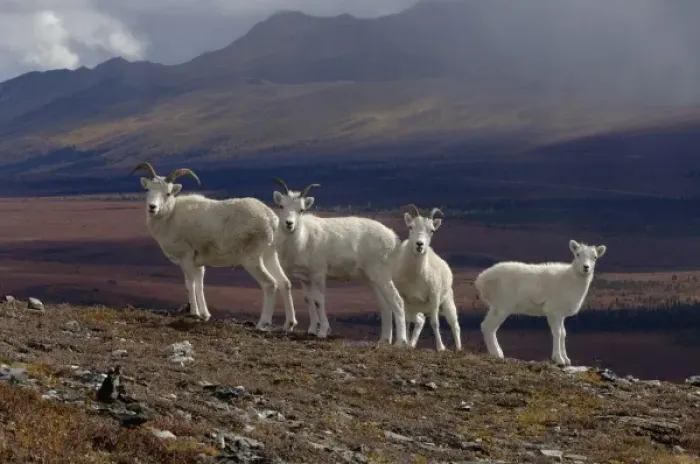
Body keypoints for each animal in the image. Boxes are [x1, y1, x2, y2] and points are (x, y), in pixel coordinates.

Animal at [129, 162, 296, 331]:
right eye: (147, 189)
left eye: (168, 193)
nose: (152, 207)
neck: (170, 217)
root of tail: (271, 219)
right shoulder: (195, 263)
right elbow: (195, 284)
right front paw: (200, 314)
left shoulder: (186, 259)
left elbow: (193, 284)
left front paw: (200, 314)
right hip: (269, 256)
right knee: (285, 283)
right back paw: (288, 325)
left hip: (252, 260)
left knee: (270, 284)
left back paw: (262, 324)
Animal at [271, 178, 408, 346]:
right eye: (281, 206)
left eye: (301, 210)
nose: (289, 224)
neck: (304, 239)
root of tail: (393, 238)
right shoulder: (305, 278)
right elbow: (308, 300)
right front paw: (311, 330)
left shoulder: (318, 275)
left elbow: (318, 300)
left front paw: (323, 332)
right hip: (372, 279)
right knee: (385, 305)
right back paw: (384, 340)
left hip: (382, 275)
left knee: (397, 301)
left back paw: (401, 342)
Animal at [392, 204, 461, 351]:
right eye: (411, 227)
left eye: (432, 230)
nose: (419, 245)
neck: (416, 277)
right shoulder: (404, 298)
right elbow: (406, 320)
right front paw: (404, 343)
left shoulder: (434, 297)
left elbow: (435, 323)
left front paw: (441, 348)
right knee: (420, 321)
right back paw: (412, 344)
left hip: (447, 303)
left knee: (454, 325)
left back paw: (458, 349)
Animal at [474, 239, 607, 366]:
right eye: (577, 254)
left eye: (595, 257)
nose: (586, 267)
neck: (570, 281)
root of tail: (481, 279)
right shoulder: (553, 311)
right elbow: (557, 333)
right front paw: (559, 360)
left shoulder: (561, 315)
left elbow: (563, 334)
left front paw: (566, 359)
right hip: (502, 306)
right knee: (489, 327)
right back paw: (497, 354)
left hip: (495, 307)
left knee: (486, 326)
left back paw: (498, 353)